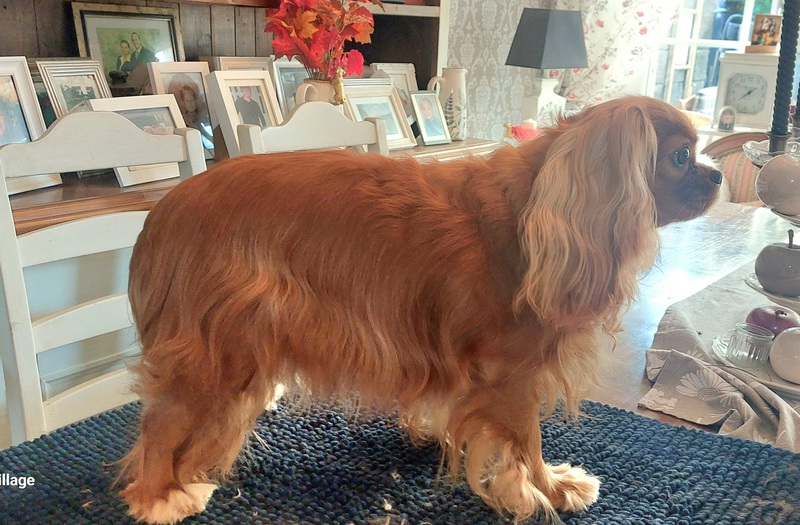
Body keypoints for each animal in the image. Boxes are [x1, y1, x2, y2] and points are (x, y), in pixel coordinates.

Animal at [120, 96, 721, 523]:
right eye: (680, 156)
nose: (717, 174)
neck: (530, 208)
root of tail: (161, 212)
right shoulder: (513, 374)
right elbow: (528, 442)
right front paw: (550, 488)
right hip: (215, 347)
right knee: (162, 422)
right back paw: (160, 497)